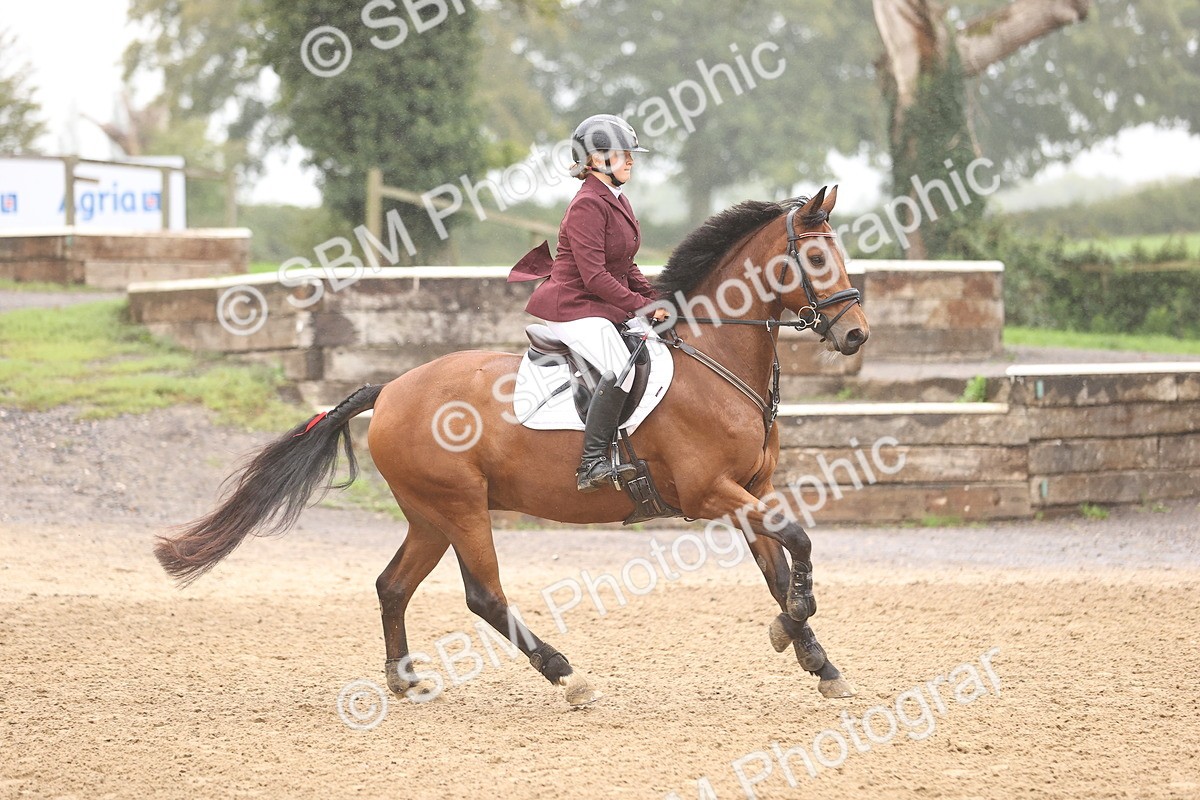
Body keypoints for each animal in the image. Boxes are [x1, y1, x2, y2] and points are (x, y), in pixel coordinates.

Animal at [155, 186, 870, 706]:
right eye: (814, 259)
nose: (856, 334)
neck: (714, 360)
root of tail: (391, 389)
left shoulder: (749, 490)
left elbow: (778, 567)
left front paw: (815, 658)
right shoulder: (709, 492)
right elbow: (799, 543)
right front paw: (793, 631)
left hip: (430, 515)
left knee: (392, 584)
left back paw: (403, 678)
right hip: (461, 507)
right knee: (484, 596)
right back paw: (567, 676)